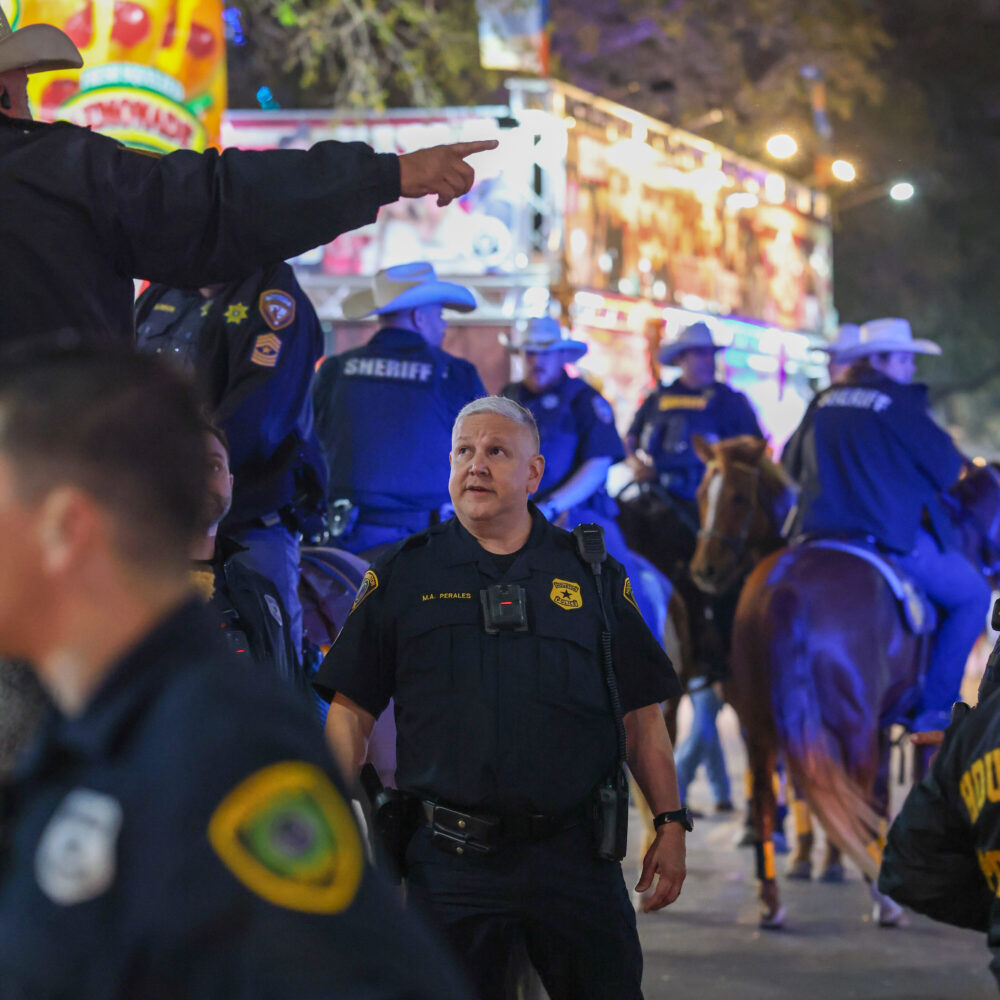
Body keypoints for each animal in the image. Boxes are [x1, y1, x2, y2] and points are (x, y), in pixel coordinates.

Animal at [692, 442, 1000, 924]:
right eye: (704, 496)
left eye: (737, 497)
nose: (704, 569)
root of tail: (785, 589)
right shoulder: (889, 726)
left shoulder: (865, 723)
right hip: (849, 725)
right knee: (846, 790)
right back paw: (880, 898)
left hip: (763, 725)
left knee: (767, 801)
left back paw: (772, 900)